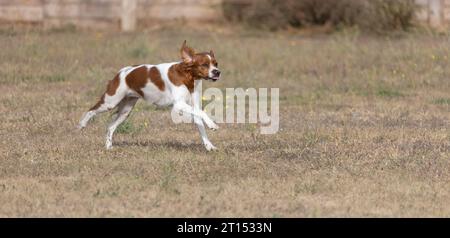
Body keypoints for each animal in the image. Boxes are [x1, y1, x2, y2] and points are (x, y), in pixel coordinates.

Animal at [79, 41, 223, 151]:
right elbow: (203, 113)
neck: (187, 77)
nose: (217, 72)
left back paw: (108, 146)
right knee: (91, 110)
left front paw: (209, 146)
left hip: (126, 110)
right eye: (204, 64)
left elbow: (201, 122)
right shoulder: (179, 104)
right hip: (110, 101)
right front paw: (213, 125)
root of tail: (121, 72)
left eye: (216, 64)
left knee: (110, 126)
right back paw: (81, 125)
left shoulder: (193, 106)